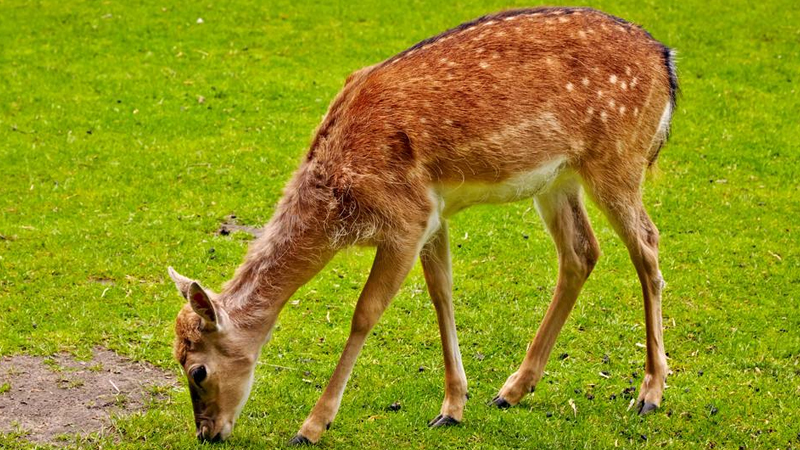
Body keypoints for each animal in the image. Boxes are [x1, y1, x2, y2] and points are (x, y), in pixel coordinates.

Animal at [167, 6, 676, 442]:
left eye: (197, 370)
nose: (207, 433)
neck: (337, 195)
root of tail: (666, 63)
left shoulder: (406, 218)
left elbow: (365, 313)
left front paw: (312, 426)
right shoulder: (432, 214)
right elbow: (441, 293)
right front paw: (452, 407)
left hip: (618, 160)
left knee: (647, 244)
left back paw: (649, 393)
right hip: (558, 178)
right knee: (581, 252)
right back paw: (512, 390)